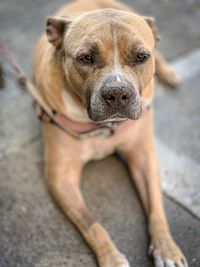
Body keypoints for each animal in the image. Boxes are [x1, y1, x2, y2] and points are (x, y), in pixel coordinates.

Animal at [32, 0, 188, 267]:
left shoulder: (144, 159)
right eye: (86, 58)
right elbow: (92, 223)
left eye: (141, 57)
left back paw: (169, 73)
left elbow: (157, 209)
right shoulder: (61, 178)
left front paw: (167, 248)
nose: (117, 93)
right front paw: (112, 258)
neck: (105, 126)